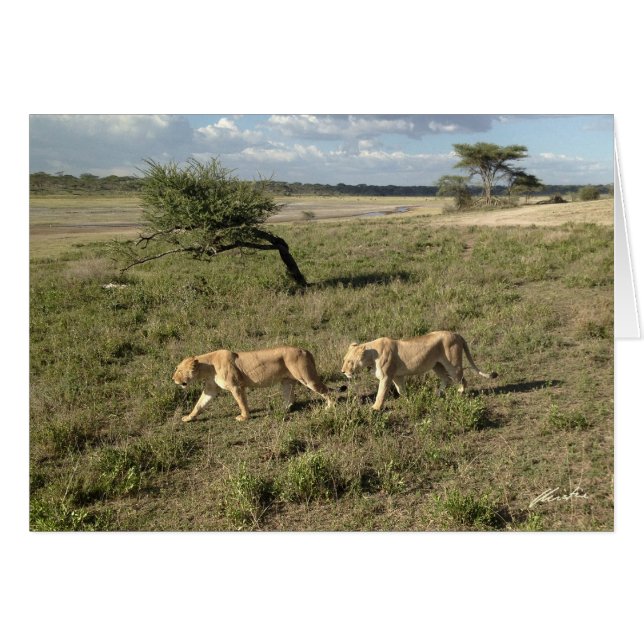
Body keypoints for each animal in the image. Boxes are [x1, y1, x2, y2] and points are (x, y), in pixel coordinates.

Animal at [173, 346, 344, 422]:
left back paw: (330, 407)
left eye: (179, 370)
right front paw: (188, 417)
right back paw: (282, 410)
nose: (173, 379)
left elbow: (241, 402)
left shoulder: (236, 386)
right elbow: (200, 404)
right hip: (287, 381)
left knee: (327, 391)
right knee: (290, 398)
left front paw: (244, 417)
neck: (207, 367)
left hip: (307, 378)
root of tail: (305, 350)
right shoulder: (211, 389)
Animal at [341, 331, 498, 411]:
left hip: (453, 364)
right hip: (437, 365)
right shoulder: (397, 376)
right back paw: (438, 394)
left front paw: (375, 408)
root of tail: (457, 334)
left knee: (461, 378)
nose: (342, 372)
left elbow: (381, 393)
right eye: (344, 360)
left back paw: (460, 392)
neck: (372, 355)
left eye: (349, 361)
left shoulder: (386, 376)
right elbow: (401, 390)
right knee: (446, 379)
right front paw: (409, 400)